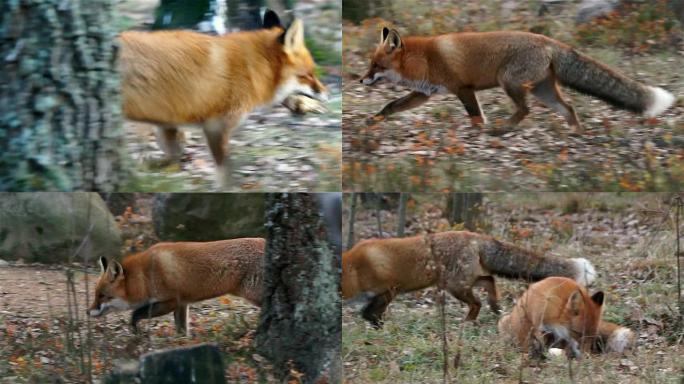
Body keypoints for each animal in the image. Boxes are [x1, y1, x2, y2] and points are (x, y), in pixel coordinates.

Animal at [88, 238, 264, 334]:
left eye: (102, 296)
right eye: (95, 294)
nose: (87, 312)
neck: (144, 277)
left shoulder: (171, 301)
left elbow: (135, 314)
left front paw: (135, 330)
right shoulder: (182, 304)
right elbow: (182, 331)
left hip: (254, 295)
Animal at [119, 10, 328, 186]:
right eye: (309, 75)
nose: (326, 93)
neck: (252, 68)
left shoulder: (168, 122)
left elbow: (175, 154)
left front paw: (150, 167)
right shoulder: (215, 126)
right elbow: (224, 172)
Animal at [340, 230, 592, 328]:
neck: (355, 268)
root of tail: (473, 235)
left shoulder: (389, 290)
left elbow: (371, 313)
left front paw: (378, 326)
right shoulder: (380, 294)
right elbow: (369, 312)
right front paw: (377, 326)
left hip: (456, 287)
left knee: (477, 301)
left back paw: (470, 321)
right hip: (464, 281)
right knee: (490, 281)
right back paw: (494, 306)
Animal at [358, 27, 672, 133]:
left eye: (376, 65)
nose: (360, 80)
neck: (425, 59)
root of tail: (546, 39)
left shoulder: (463, 89)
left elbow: (476, 117)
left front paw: (479, 133)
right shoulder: (424, 94)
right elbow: (390, 106)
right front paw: (373, 121)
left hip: (508, 81)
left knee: (525, 110)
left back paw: (503, 129)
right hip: (543, 91)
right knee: (568, 108)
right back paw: (576, 133)